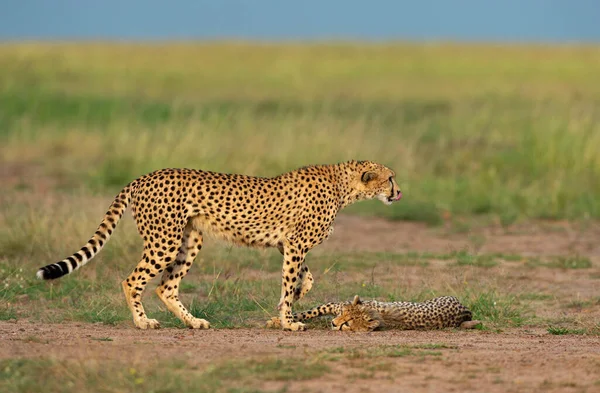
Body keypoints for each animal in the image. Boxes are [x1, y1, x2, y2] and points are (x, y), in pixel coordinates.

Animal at [37, 160, 404, 330]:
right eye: (390, 178)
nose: (399, 193)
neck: (344, 185)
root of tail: (145, 176)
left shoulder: (286, 244)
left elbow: (305, 279)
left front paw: (292, 303)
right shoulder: (296, 244)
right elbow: (290, 283)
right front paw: (289, 321)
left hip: (189, 240)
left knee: (165, 287)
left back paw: (193, 322)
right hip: (164, 241)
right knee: (132, 281)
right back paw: (143, 322)